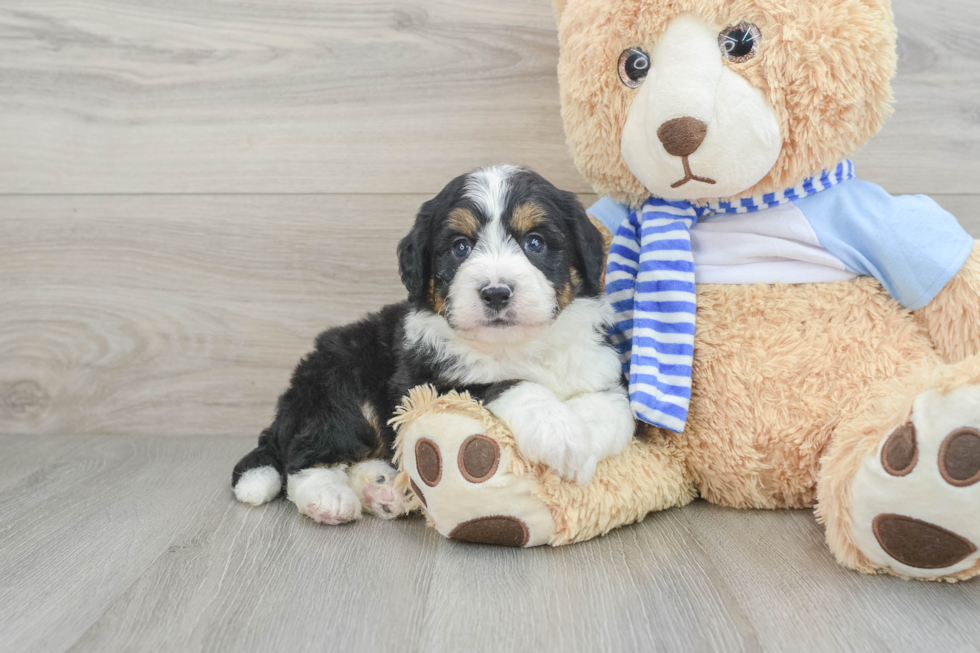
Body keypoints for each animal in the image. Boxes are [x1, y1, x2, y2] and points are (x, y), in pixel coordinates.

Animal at [234, 166, 640, 524]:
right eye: (460, 247)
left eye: (535, 242)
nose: (496, 292)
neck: (519, 347)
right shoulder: (422, 385)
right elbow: (507, 385)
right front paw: (558, 431)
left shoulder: (602, 371)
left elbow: (612, 411)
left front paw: (581, 445)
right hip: (339, 386)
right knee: (304, 455)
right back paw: (328, 498)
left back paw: (384, 490)